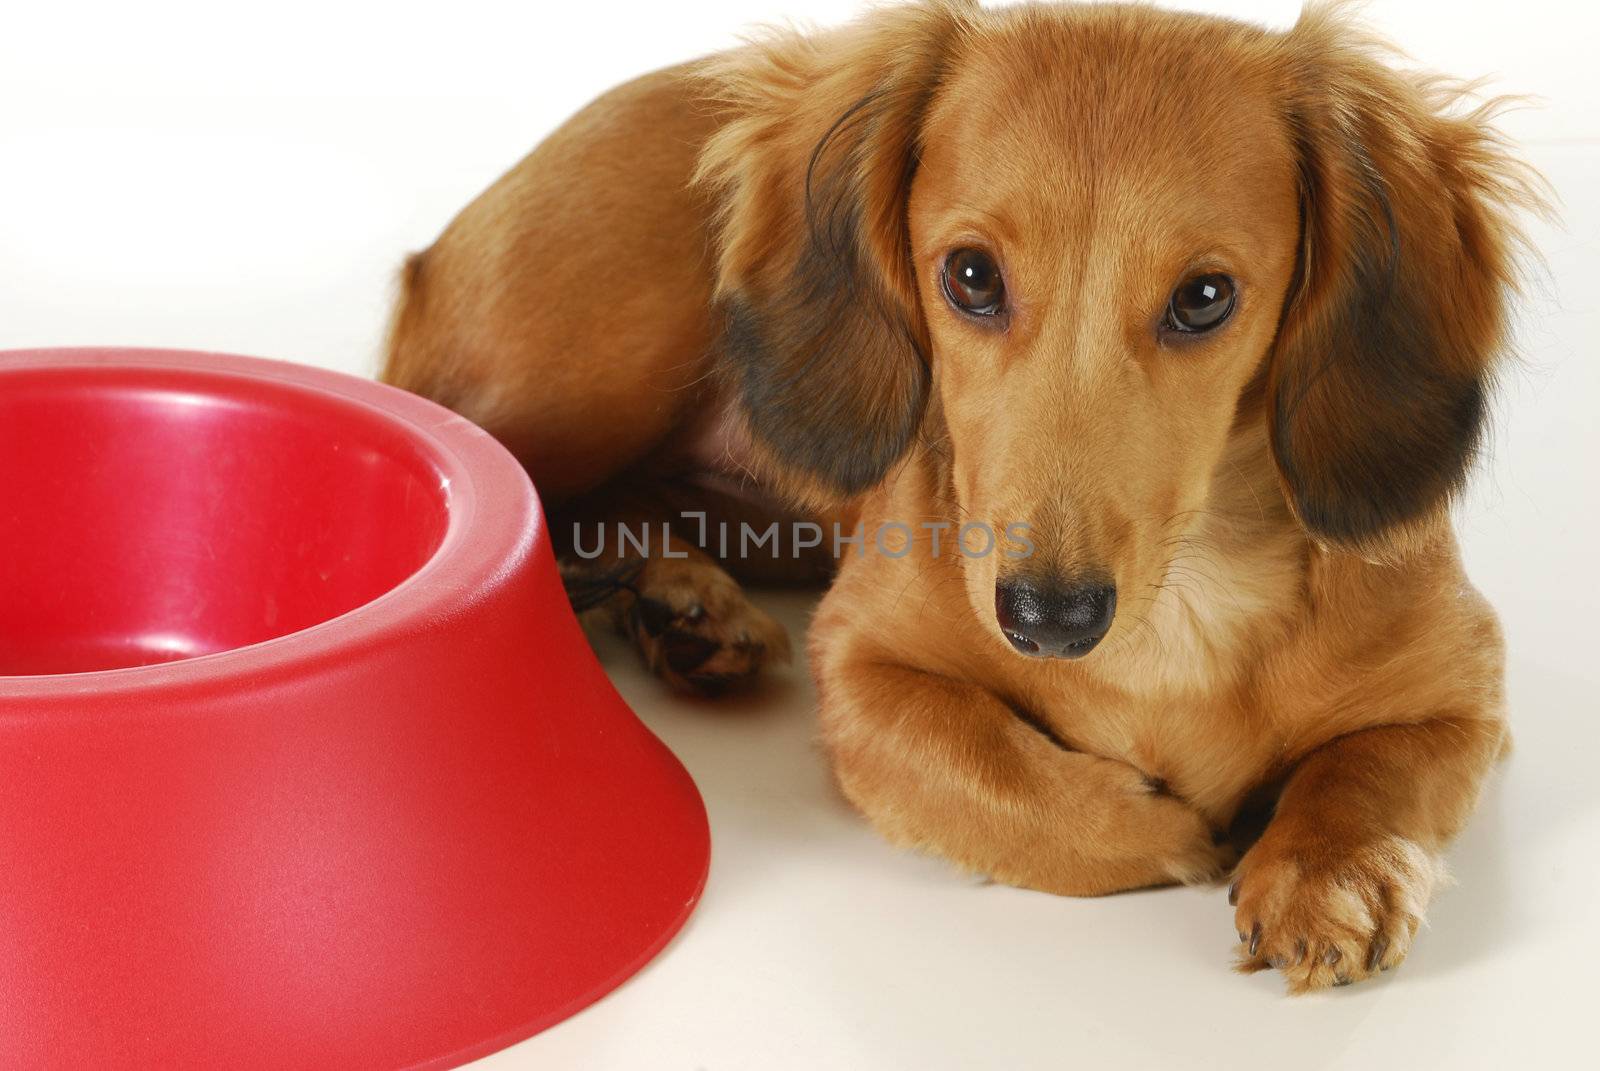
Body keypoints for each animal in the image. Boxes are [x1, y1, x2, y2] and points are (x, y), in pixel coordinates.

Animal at [380, 0, 1542, 992]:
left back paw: (682, 602)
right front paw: (1165, 831)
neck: (1183, 605)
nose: (1048, 620)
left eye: (1206, 297)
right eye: (971, 276)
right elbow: (989, 769)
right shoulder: (861, 669)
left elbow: (1368, 774)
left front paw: (1328, 869)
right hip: (587, 369)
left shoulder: (1465, 692)